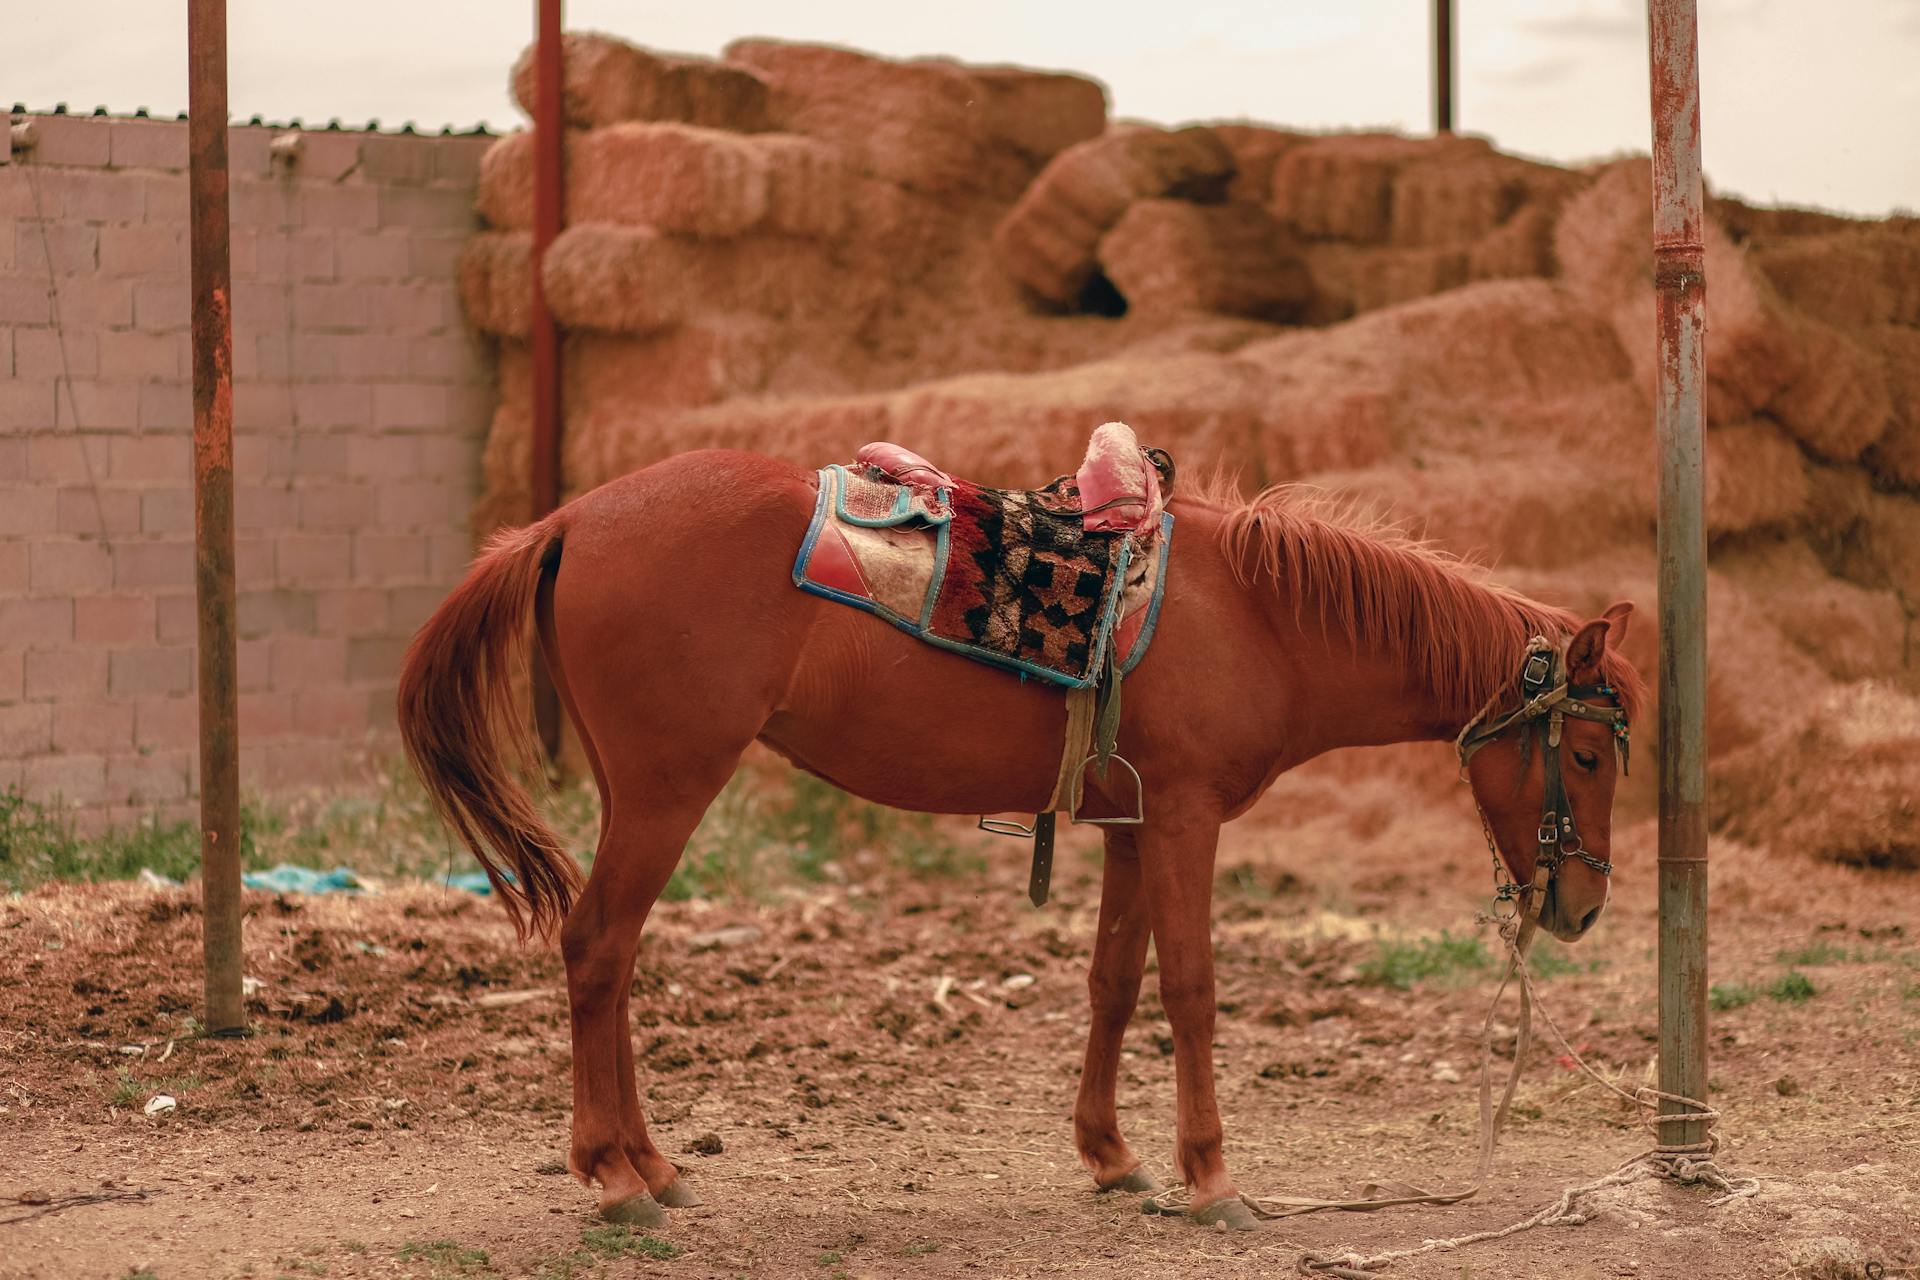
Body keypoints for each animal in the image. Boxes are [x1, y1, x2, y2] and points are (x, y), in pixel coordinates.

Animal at [397, 450, 1643, 1228]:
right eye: (1587, 755)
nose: (1583, 905)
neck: (1256, 614)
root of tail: (572, 518)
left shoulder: (1133, 822)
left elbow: (1113, 982)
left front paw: (1114, 1157)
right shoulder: (1185, 815)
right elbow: (1191, 987)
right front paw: (1212, 1177)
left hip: (636, 788)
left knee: (613, 960)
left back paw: (652, 1167)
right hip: (668, 787)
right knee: (599, 945)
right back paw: (613, 1177)